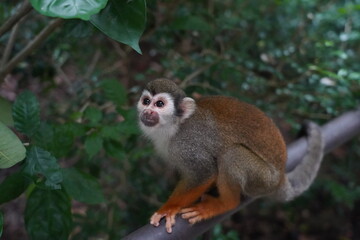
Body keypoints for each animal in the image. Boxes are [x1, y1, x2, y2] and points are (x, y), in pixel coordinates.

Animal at [137, 78, 324, 232]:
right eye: (146, 101)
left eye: (159, 104)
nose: (147, 112)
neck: (174, 127)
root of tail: (280, 179)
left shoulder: (187, 144)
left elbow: (205, 172)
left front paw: (169, 209)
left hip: (263, 179)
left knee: (232, 154)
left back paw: (225, 204)